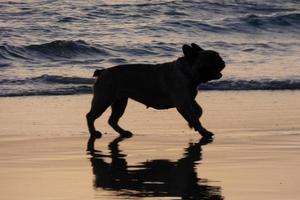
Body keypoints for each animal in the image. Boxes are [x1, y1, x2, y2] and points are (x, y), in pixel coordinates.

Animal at [85, 43, 224, 138]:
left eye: (218, 57)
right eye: (210, 59)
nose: (222, 61)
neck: (186, 71)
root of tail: (102, 71)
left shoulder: (189, 100)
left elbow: (199, 111)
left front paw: (192, 124)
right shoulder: (183, 104)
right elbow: (195, 118)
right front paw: (203, 131)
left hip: (120, 102)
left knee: (112, 120)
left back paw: (123, 132)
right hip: (103, 100)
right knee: (90, 116)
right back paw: (94, 133)